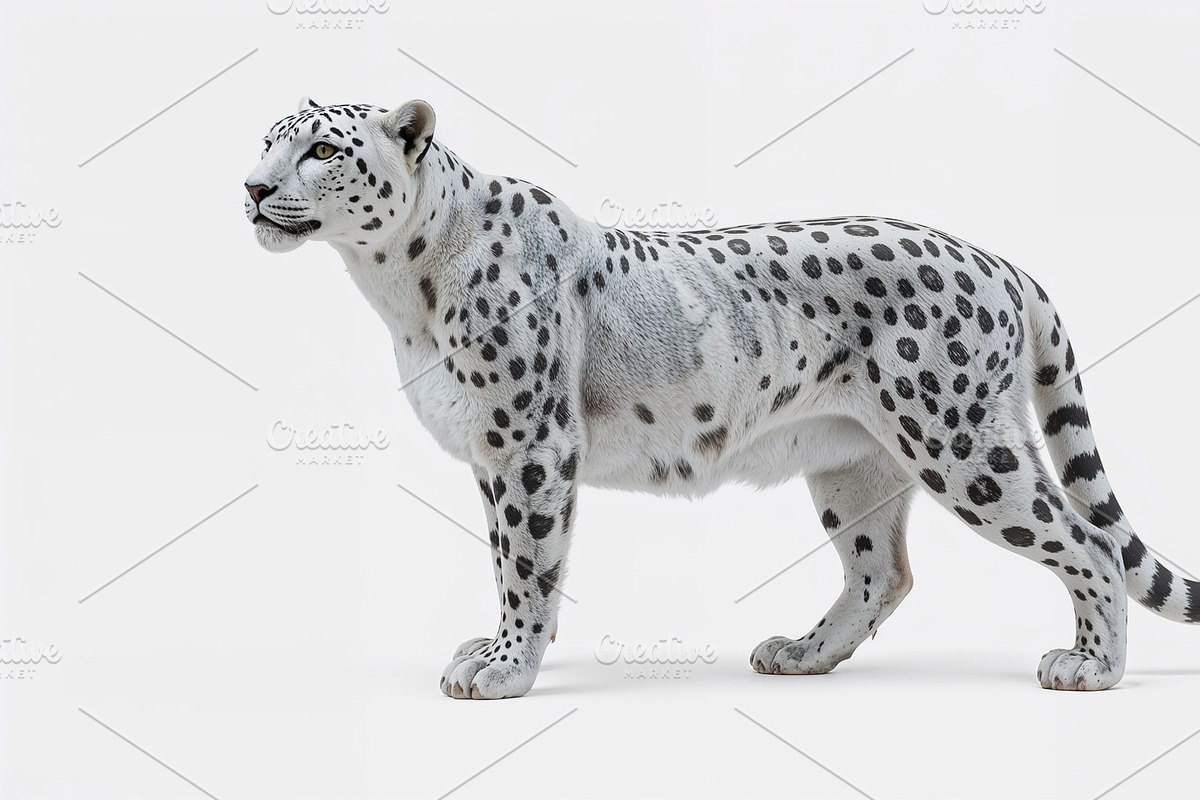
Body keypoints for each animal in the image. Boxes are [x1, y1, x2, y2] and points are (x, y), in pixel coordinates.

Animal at [244, 96, 1199, 698]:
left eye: (322, 149)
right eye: (267, 141)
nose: (252, 188)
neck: (399, 290)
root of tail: (999, 260)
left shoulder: (529, 444)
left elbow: (526, 560)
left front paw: (505, 668)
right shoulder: (492, 450)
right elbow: (510, 556)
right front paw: (501, 649)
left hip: (964, 442)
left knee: (1086, 540)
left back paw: (1090, 668)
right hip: (855, 463)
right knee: (880, 569)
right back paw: (802, 653)